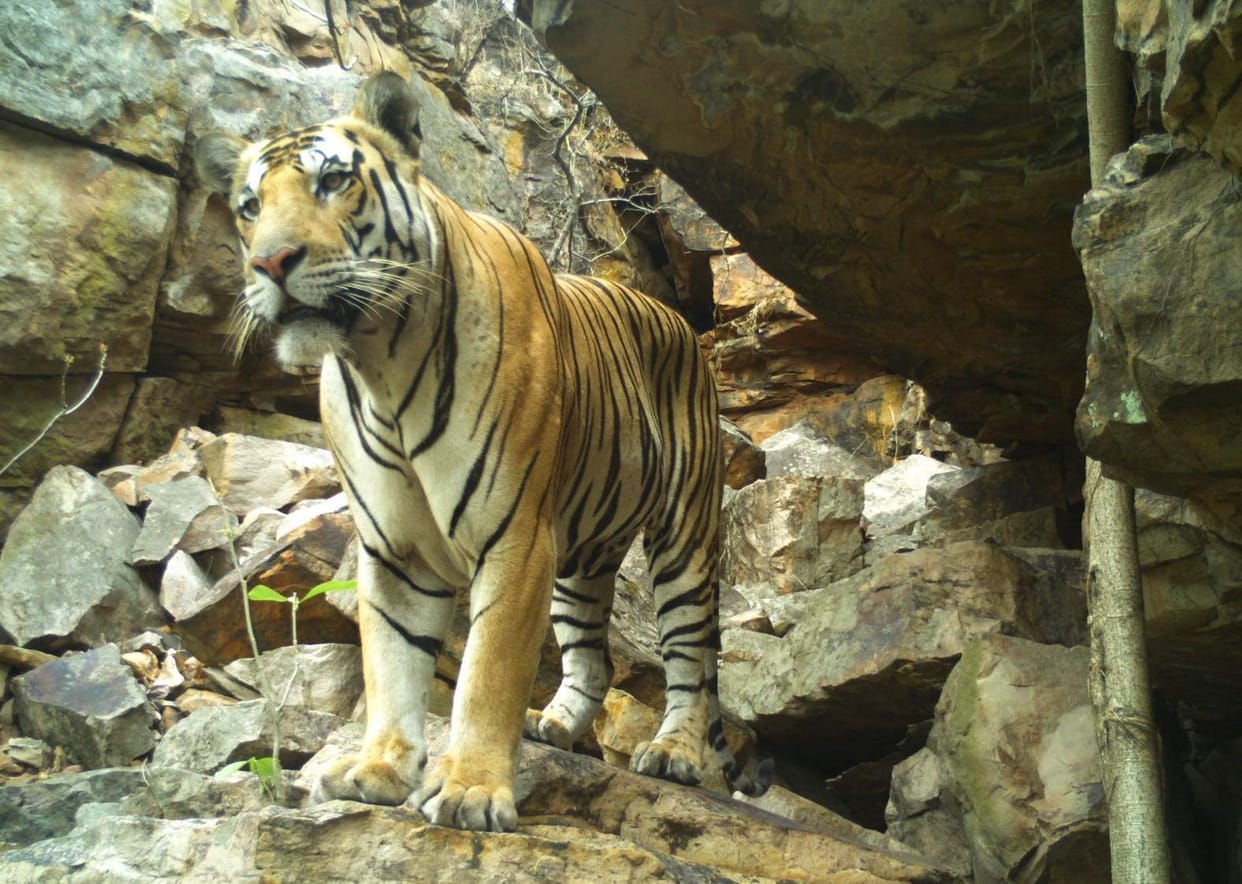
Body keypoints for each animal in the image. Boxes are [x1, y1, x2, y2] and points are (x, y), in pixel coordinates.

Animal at [196, 71, 771, 832]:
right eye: (250, 207)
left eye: (333, 181)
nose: (269, 260)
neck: (379, 365)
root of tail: (674, 317)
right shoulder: (397, 552)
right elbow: (392, 664)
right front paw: (379, 770)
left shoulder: (516, 537)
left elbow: (487, 671)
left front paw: (469, 789)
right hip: (581, 559)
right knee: (593, 661)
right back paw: (552, 726)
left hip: (684, 538)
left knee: (687, 663)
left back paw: (671, 752)